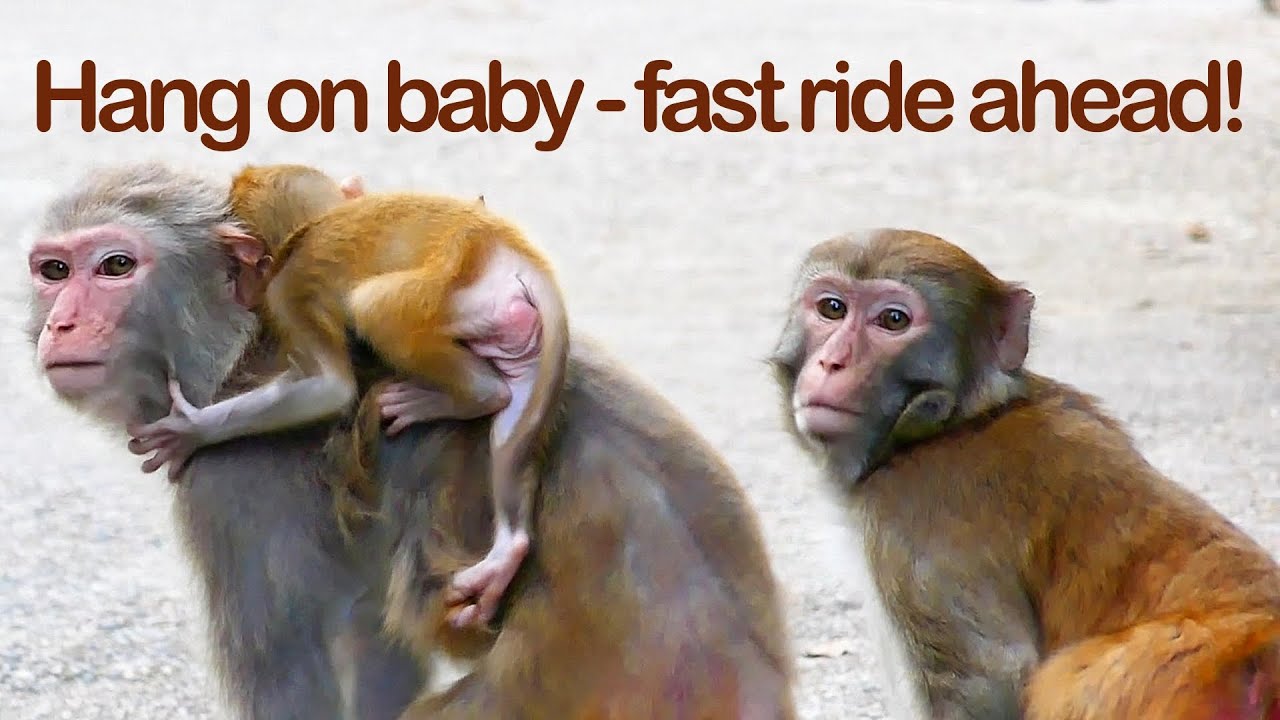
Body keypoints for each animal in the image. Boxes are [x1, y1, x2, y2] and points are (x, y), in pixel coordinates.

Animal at [26, 163, 424, 720]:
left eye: (116, 265)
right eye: (55, 271)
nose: (62, 324)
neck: (242, 360)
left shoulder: (235, 488)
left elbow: (291, 677)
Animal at [129, 163, 570, 628]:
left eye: (237, 269)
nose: (238, 293)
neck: (313, 223)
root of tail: (507, 249)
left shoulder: (286, 293)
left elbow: (330, 388)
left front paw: (193, 428)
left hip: (451, 294)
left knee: (376, 307)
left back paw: (469, 396)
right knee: (516, 405)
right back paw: (510, 548)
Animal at [769, 228, 1280, 720]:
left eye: (893, 320)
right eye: (832, 308)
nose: (832, 361)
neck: (951, 423)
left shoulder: (914, 520)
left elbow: (988, 683)